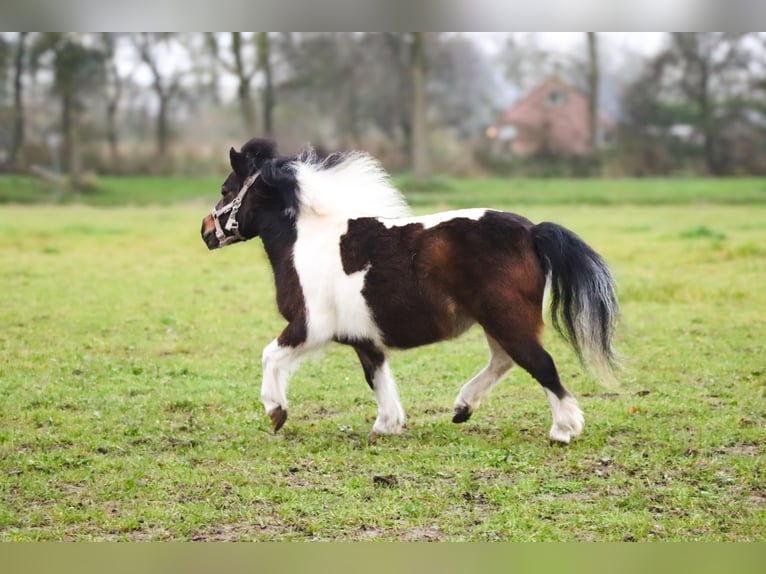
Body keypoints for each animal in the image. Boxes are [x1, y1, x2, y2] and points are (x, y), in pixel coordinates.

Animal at [201, 138, 620, 446]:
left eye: (225, 189)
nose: (205, 231)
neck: (306, 241)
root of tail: (532, 232)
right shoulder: (362, 337)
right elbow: (377, 378)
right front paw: (386, 425)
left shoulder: (308, 327)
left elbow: (269, 356)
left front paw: (276, 412)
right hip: (496, 320)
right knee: (505, 360)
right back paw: (462, 407)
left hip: (507, 318)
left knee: (540, 364)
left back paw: (563, 429)